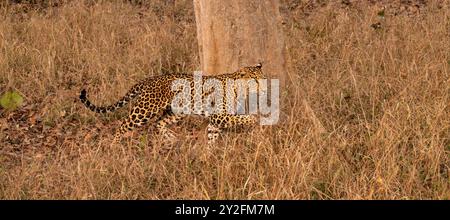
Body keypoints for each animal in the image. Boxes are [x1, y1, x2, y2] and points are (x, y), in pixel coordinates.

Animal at [79, 63, 266, 144]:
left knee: (159, 124)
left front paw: (210, 155)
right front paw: (254, 120)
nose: (265, 88)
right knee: (124, 124)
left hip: (176, 112)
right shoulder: (220, 117)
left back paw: (172, 138)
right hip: (144, 110)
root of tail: (148, 80)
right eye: (256, 81)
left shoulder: (216, 121)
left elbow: (212, 135)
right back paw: (115, 145)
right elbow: (244, 118)